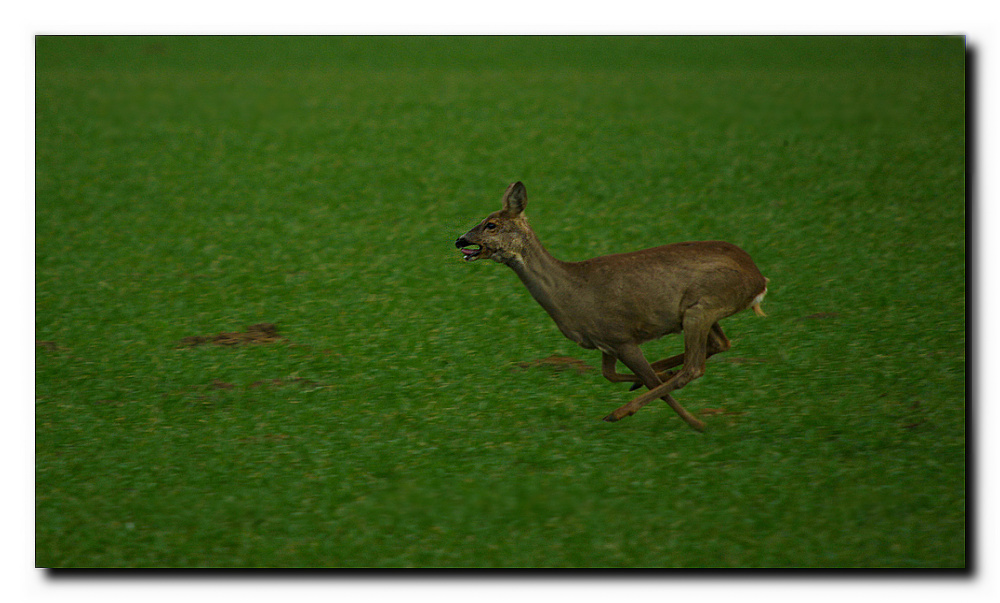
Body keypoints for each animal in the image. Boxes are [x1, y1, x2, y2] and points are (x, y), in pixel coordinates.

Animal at [458, 182, 768, 432]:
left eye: (491, 224)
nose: (460, 239)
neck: (571, 294)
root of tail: (758, 279)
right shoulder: (605, 341)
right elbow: (611, 374)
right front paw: (652, 379)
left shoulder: (620, 335)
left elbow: (651, 381)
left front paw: (696, 422)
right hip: (700, 312)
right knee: (719, 345)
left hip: (702, 307)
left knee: (694, 367)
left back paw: (624, 412)